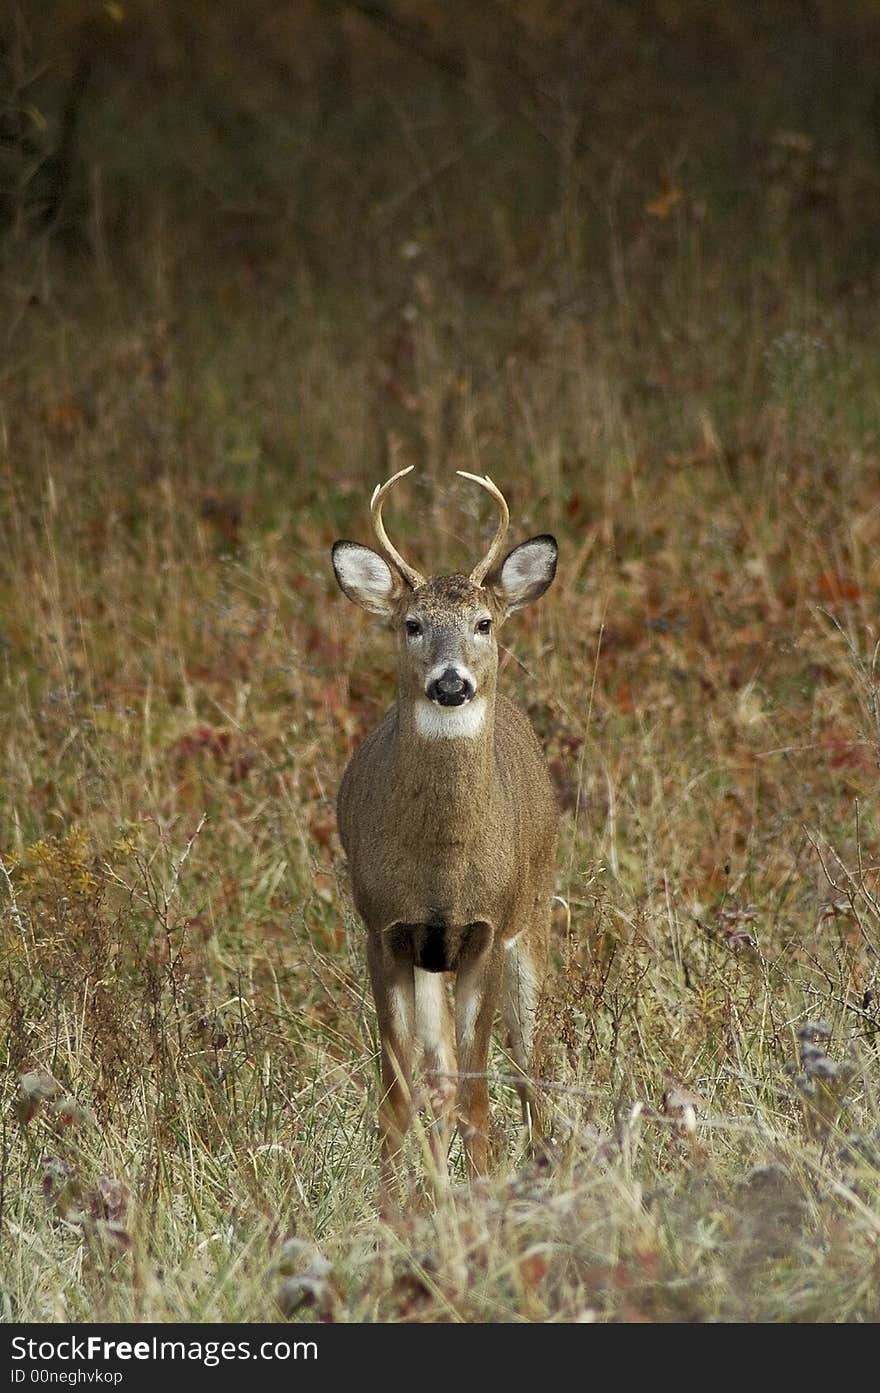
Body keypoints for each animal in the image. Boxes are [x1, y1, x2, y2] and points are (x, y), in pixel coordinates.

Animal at [330, 470, 556, 1197]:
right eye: (412, 624)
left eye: (484, 622)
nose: (451, 682)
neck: (442, 869)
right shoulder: (386, 928)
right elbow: (399, 1094)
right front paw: (391, 1204)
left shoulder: (486, 928)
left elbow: (478, 1090)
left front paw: (482, 1193)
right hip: (432, 959)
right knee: (436, 1076)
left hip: (533, 916)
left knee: (529, 1062)